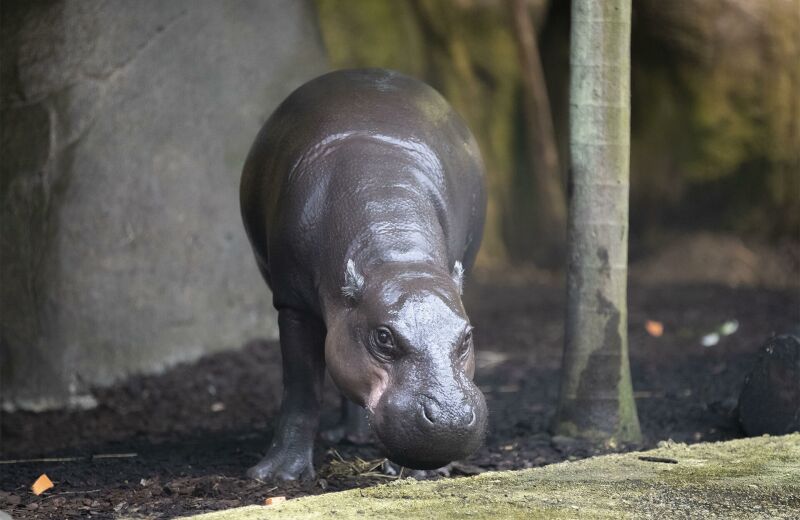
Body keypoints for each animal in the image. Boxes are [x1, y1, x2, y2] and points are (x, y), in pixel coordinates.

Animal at [238, 68, 488, 480]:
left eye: (467, 336)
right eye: (383, 338)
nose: (449, 419)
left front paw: (420, 473)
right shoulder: (293, 305)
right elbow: (302, 388)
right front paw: (278, 475)